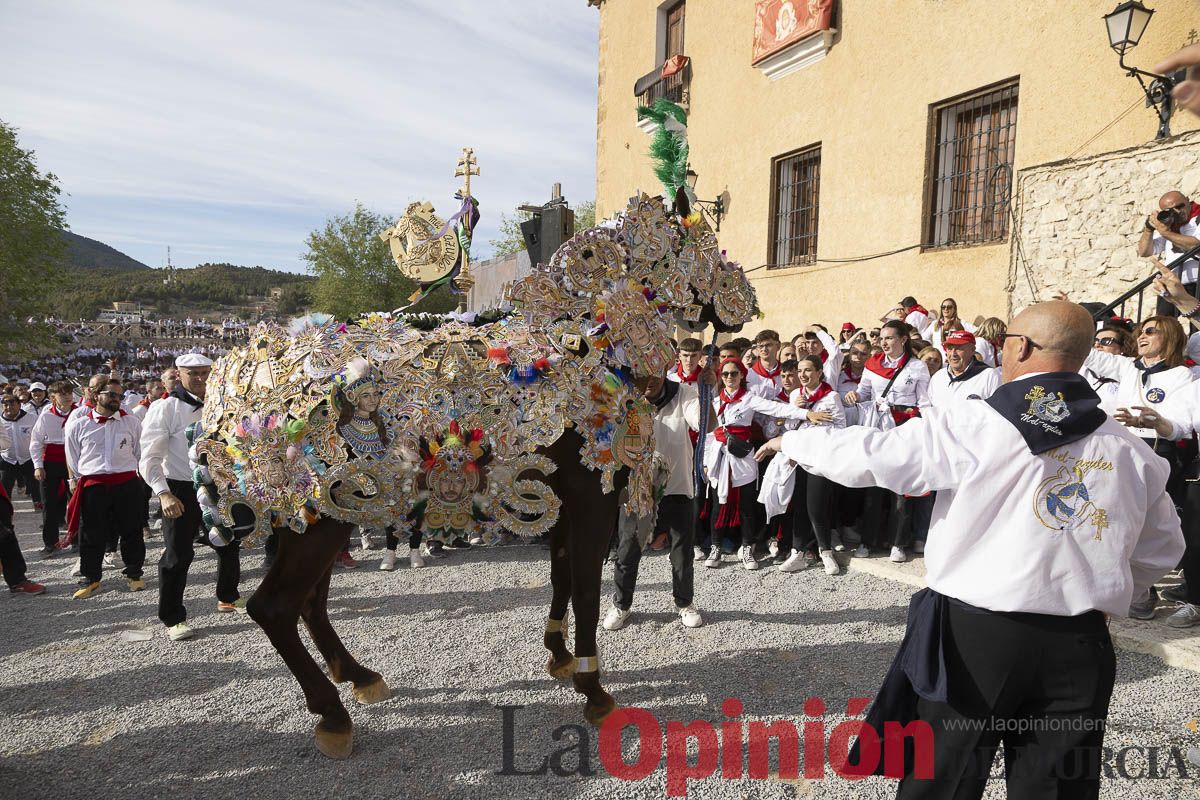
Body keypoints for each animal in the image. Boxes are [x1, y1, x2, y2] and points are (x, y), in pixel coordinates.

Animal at [188, 191, 753, 758]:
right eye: (705, 243)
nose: (746, 301)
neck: (588, 344)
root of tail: (238, 383)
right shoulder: (593, 502)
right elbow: (589, 593)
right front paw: (593, 687)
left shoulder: (561, 503)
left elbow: (562, 578)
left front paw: (558, 655)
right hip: (319, 522)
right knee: (275, 606)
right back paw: (332, 712)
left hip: (321, 516)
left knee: (309, 603)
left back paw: (359, 676)